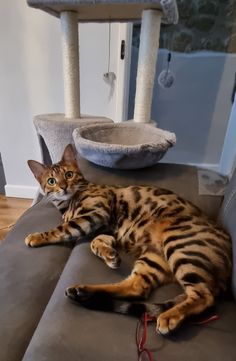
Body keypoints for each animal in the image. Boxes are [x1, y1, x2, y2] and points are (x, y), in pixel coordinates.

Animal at [25, 143, 230, 334]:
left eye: (68, 175)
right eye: (51, 181)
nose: (63, 187)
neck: (67, 205)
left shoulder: (96, 213)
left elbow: (63, 229)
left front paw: (36, 236)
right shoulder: (106, 229)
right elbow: (94, 243)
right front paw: (109, 255)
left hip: (180, 245)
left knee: (204, 296)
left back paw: (169, 317)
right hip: (154, 257)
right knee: (137, 288)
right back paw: (83, 291)